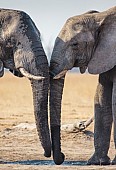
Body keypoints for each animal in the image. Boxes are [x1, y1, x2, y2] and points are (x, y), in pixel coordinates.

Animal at [49, 6, 116, 165]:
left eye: (75, 44)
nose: (62, 156)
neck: (100, 17)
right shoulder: (104, 56)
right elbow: (101, 98)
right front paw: (96, 162)